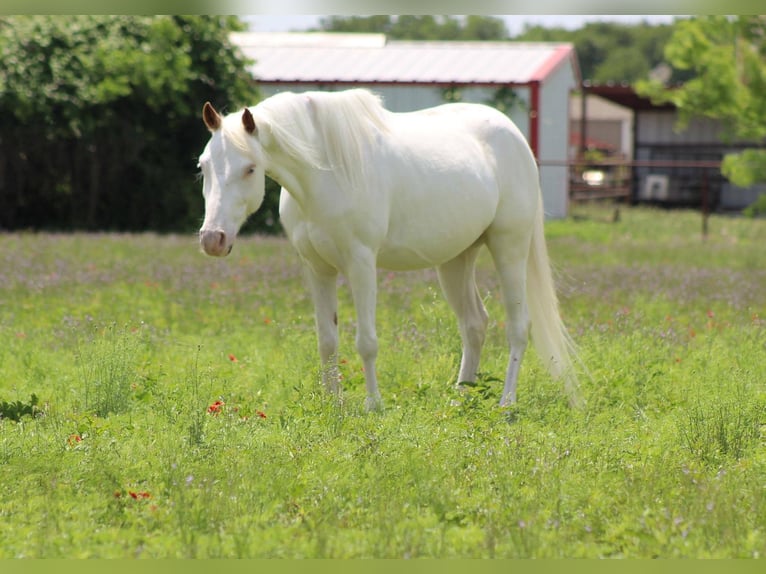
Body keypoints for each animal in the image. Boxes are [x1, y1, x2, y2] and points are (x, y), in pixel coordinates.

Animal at [197, 88, 579, 410]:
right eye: (203, 165)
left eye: (250, 168)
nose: (212, 239)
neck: (324, 174)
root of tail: (514, 136)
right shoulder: (318, 269)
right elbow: (327, 341)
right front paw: (333, 403)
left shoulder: (361, 263)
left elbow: (366, 341)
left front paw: (373, 405)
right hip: (456, 260)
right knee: (474, 324)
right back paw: (461, 398)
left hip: (509, 247)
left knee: (518, 327)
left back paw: (506, 403)